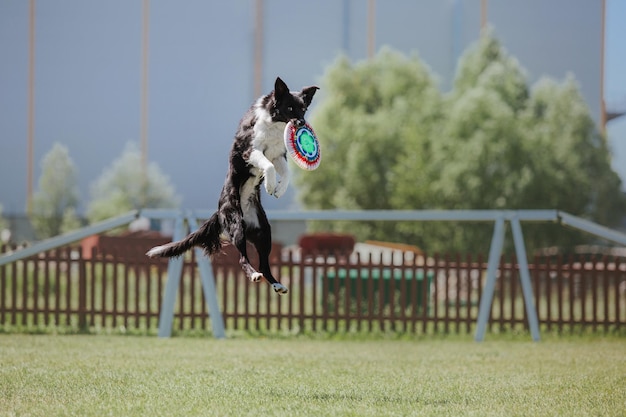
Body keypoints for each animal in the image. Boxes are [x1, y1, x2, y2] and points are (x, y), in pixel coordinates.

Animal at [146, 76, 316, 294]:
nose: (302, 123)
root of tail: (219, 212)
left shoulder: (279, 154)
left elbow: (285, 173)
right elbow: (268, 166)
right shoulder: (250, 151)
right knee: (243, 259)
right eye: (290, 107)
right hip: (236, 226)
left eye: (303, 108)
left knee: (264, 264)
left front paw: (278, 189)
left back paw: (277, 284)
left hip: (264, 233)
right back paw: (253, 275)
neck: (273, 123)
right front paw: (270, 186)